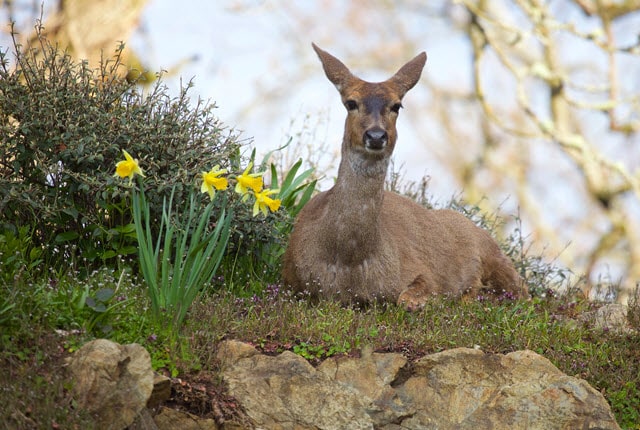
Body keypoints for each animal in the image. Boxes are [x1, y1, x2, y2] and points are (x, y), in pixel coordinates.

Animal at [282, 44, 528, 310]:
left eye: (397, 105)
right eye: (351, 103)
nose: (376, 136)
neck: (349, 263)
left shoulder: (425, 273)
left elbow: (407, 300)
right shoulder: (290, 282)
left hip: (494, 254)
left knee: (522, 292)